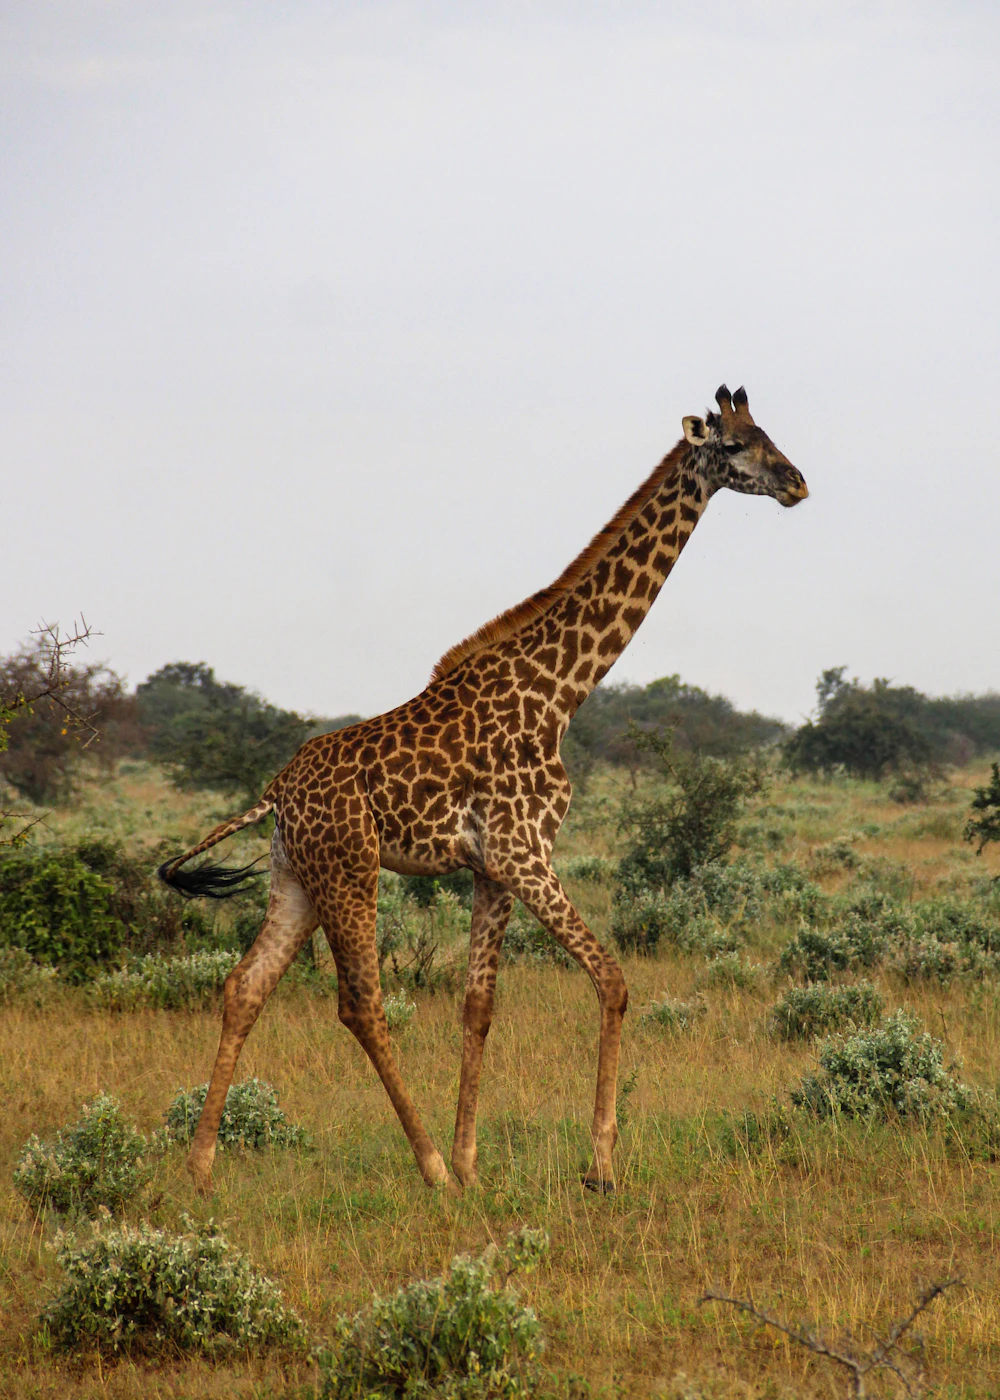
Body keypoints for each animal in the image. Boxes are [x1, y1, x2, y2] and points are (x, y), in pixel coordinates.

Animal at [160, 385, 808, 1196]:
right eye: (736, 445)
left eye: (769, 433)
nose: (797, 483)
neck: (561, 692)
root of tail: (277, 789)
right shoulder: (523, 851)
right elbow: (612, 979)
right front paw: (597, 1166)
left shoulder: (493, 868)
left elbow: (478, 1005)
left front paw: (475, 1162)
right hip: (351, 870)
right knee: (361, 1003)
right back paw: (428, 1165)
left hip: (297, 877)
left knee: (244, 988)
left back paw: (201, 1166)